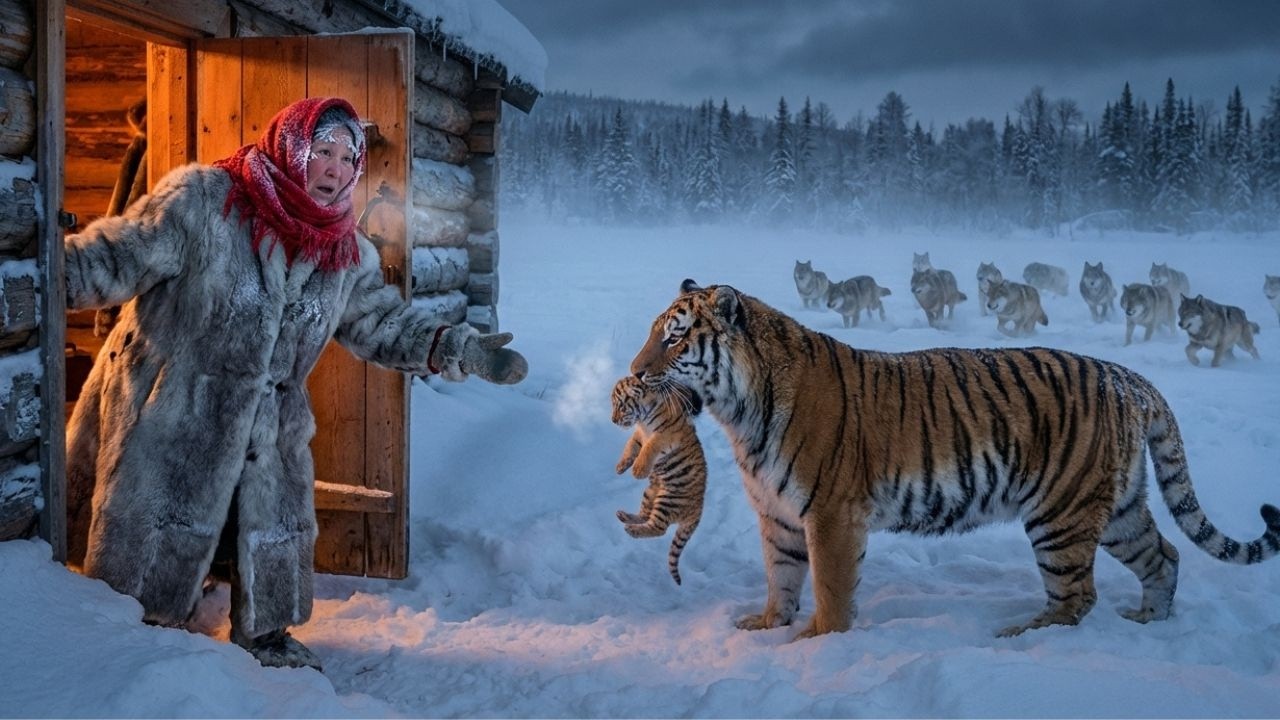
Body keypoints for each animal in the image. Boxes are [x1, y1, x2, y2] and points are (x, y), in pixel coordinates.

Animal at [610, 375, 707, 586]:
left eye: (620, 406)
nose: (613, 420)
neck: (643, 418)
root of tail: (698, 510)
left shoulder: (666, 435)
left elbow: (650, 447)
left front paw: (638, 470)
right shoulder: (639, 434)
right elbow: (631, 446)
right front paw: (621, 466)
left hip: (669, 499)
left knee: (659, 528)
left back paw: (631, 530)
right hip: (651, 492)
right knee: (646, 516)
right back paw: (624, 517)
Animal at [629, 279, 1280, 640]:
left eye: (675, 338)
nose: (634, 371)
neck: (737, 413)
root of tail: (1129, 379)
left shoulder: (831, 515)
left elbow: (831, 589)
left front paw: (815, 641)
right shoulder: (779, 514)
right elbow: (781, 577)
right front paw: (768, 625)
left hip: (1061, 515)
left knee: (1077, 597)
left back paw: (1021, 634)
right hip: (1117, 508)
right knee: (1165, 556)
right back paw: (1148, 621)